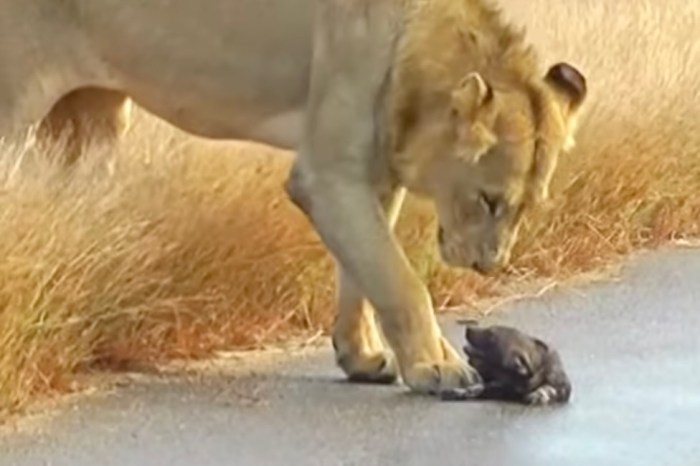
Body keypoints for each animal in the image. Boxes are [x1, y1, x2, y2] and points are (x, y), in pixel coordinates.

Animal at [0, 0, 586, 398]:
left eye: (529, 205)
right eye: (488, 200)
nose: (491, 265)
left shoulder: (368, 175)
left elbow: (362, 277)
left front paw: (363, 356)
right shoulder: (325, 175)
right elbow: (399, 280)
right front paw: (437, 367)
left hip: (94, 114)